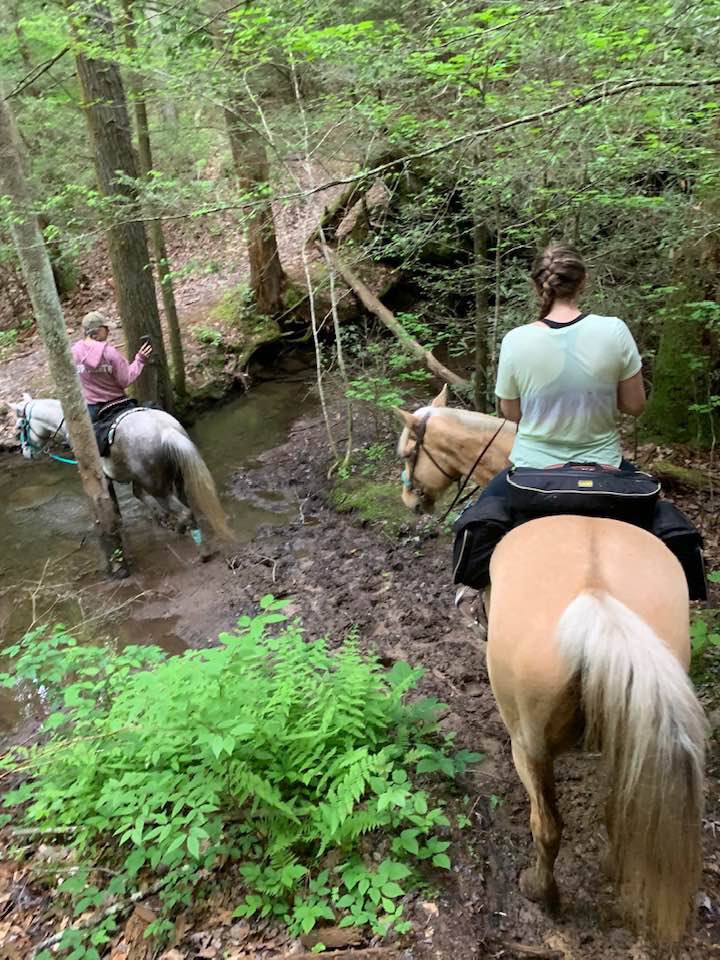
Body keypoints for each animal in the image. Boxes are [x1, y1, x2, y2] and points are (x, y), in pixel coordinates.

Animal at [13, 394, 231, 556]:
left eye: (19, 428)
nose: (26, 453)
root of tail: (167, 431)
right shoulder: (135, 478)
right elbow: (138, 495)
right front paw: (159, 518)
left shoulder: (106, 479)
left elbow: (116, 509)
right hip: (175, 478)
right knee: (185, 504)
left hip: (158, 487)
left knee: (184, 511)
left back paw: (192, 541)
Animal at [394, 386, 706, 944]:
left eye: (408, 451)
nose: (409, 501)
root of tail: (597, 602)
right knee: (616, 812)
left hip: (530, 742)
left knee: (547, 826)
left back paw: (541, 892)